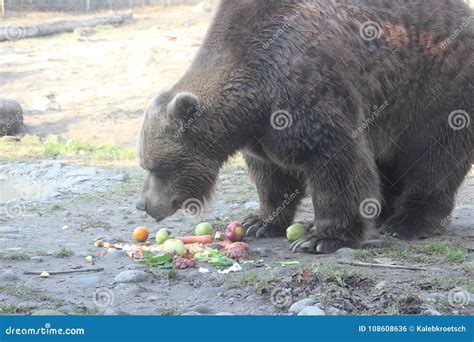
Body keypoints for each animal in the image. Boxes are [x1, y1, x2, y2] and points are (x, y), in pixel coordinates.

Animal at [135, 0, 472, 254]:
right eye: (145, 164)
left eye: (156, 167)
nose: (144, 204)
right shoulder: (262, 133)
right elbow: (272, 176)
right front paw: (260, 222)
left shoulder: (307, 90)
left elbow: (336, 162)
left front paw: (321, 238)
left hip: (436, 89)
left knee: (435, 156)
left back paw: (409, 221)